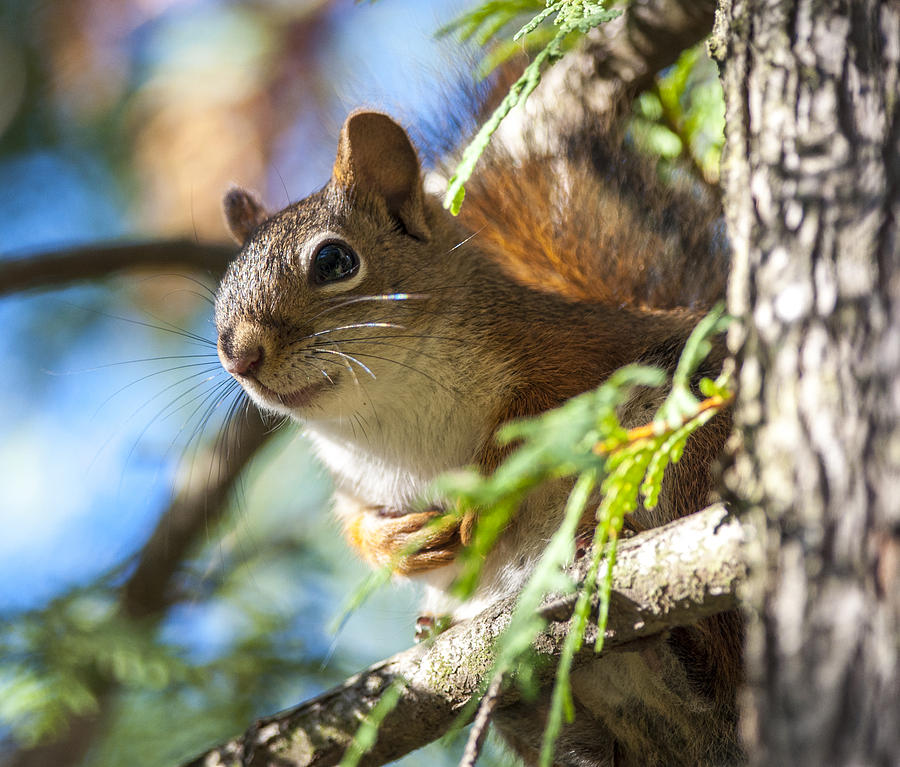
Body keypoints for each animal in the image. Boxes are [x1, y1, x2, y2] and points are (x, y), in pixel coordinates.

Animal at [214, 111, 740, 764]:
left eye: (334, 261)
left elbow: (539, 421)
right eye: (224, 281)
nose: (238, 355)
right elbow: (354, 521)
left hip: (687, 444)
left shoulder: (576, 354)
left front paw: (487, 495)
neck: (385, 419)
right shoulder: (354, 482)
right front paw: (398, 543)